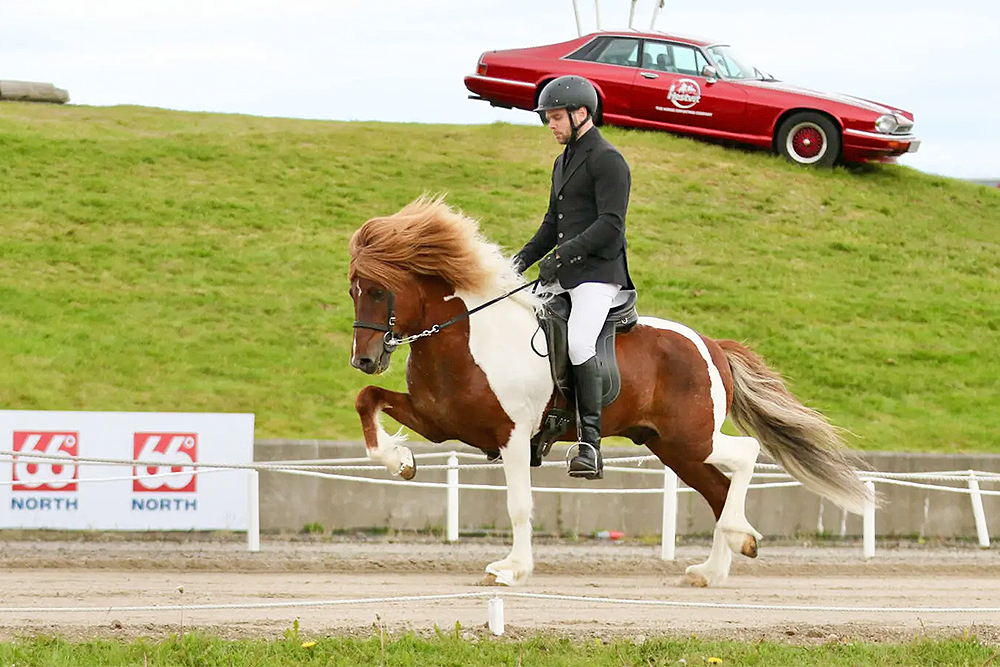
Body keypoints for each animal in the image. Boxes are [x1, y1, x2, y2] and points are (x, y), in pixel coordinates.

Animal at [352, 196, 876, 588]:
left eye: (378, 291)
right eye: (354, 290)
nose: (364, 360)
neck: (468, 335)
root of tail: (711, 345)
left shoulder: (513, 436)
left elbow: (519, 505)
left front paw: (512, 570)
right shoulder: (438, 421)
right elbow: (368, 400)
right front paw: (400, 461)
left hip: (692, 437)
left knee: (745, 454)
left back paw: (734, 538)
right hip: (672, 447)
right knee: (719, 489)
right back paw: (715, 566)